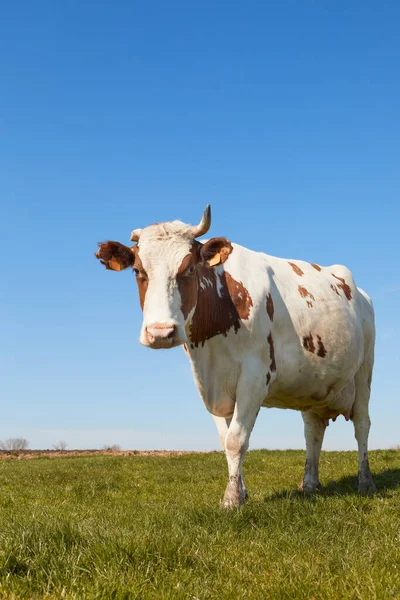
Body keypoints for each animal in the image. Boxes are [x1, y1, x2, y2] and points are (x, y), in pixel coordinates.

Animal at [95, 206, 376, 506]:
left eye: (190, 268)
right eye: (138, 270)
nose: (160, 332)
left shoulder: (255, 377)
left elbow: (236, 440)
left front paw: (231, 499)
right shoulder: (211, 384)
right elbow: (225, 439)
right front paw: (241, 492)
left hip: (364, 371)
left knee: (362, 424)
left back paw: (365, 482)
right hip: (313, 386)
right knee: (312, 431)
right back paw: (310, 484)